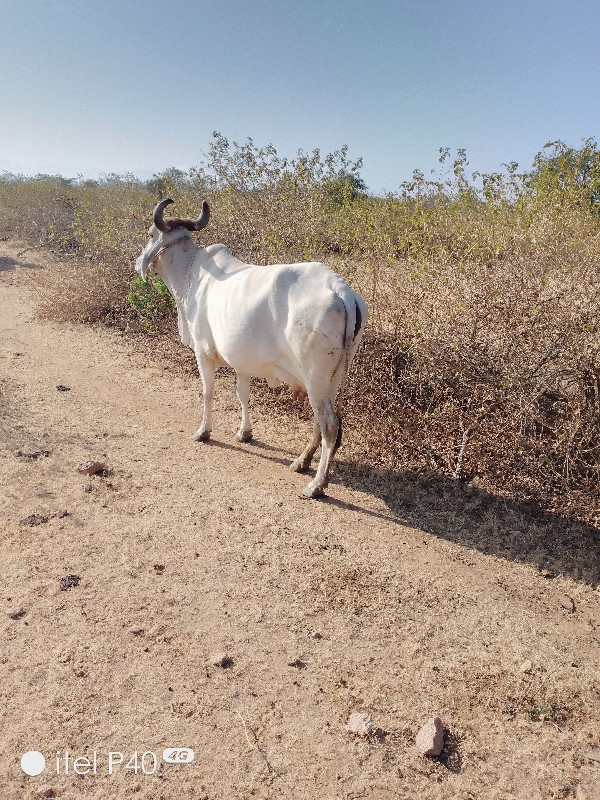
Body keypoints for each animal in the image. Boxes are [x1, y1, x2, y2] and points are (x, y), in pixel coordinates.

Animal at [135, 199, 366, 496]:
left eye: (150, 234)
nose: (138, 264)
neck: (191, 274)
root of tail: (340, 290)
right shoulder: (241, 362)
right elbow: (243, 395)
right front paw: (244, 433)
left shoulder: (202, 352)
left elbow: (207, 392)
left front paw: (203, 431)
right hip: (332, 380)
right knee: (324, 421)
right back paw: (302, 462)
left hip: (315, 378)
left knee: (329, 425)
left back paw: (316, 484)